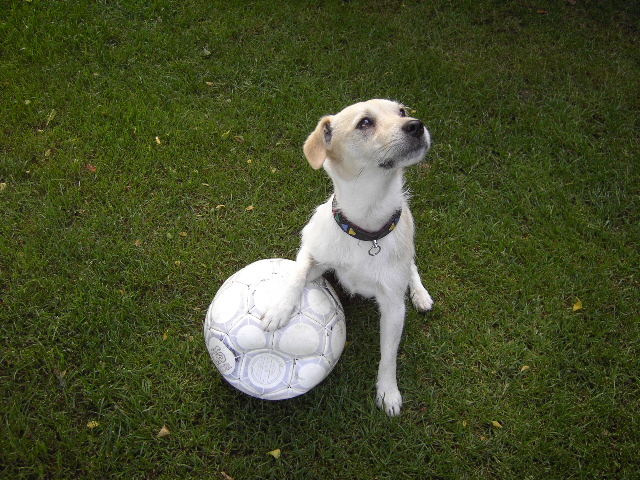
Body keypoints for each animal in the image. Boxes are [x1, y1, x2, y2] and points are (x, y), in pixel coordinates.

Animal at [262, 98, 436, 416]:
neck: (366, 230)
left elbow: (388, 356)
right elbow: (296, 275)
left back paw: (420, 294)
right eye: (365, 122)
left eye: (402, 111)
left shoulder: (393, 307)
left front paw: (388, 392)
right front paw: (278, 309)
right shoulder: (313, 254)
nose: (417, 125)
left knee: (412, 268)